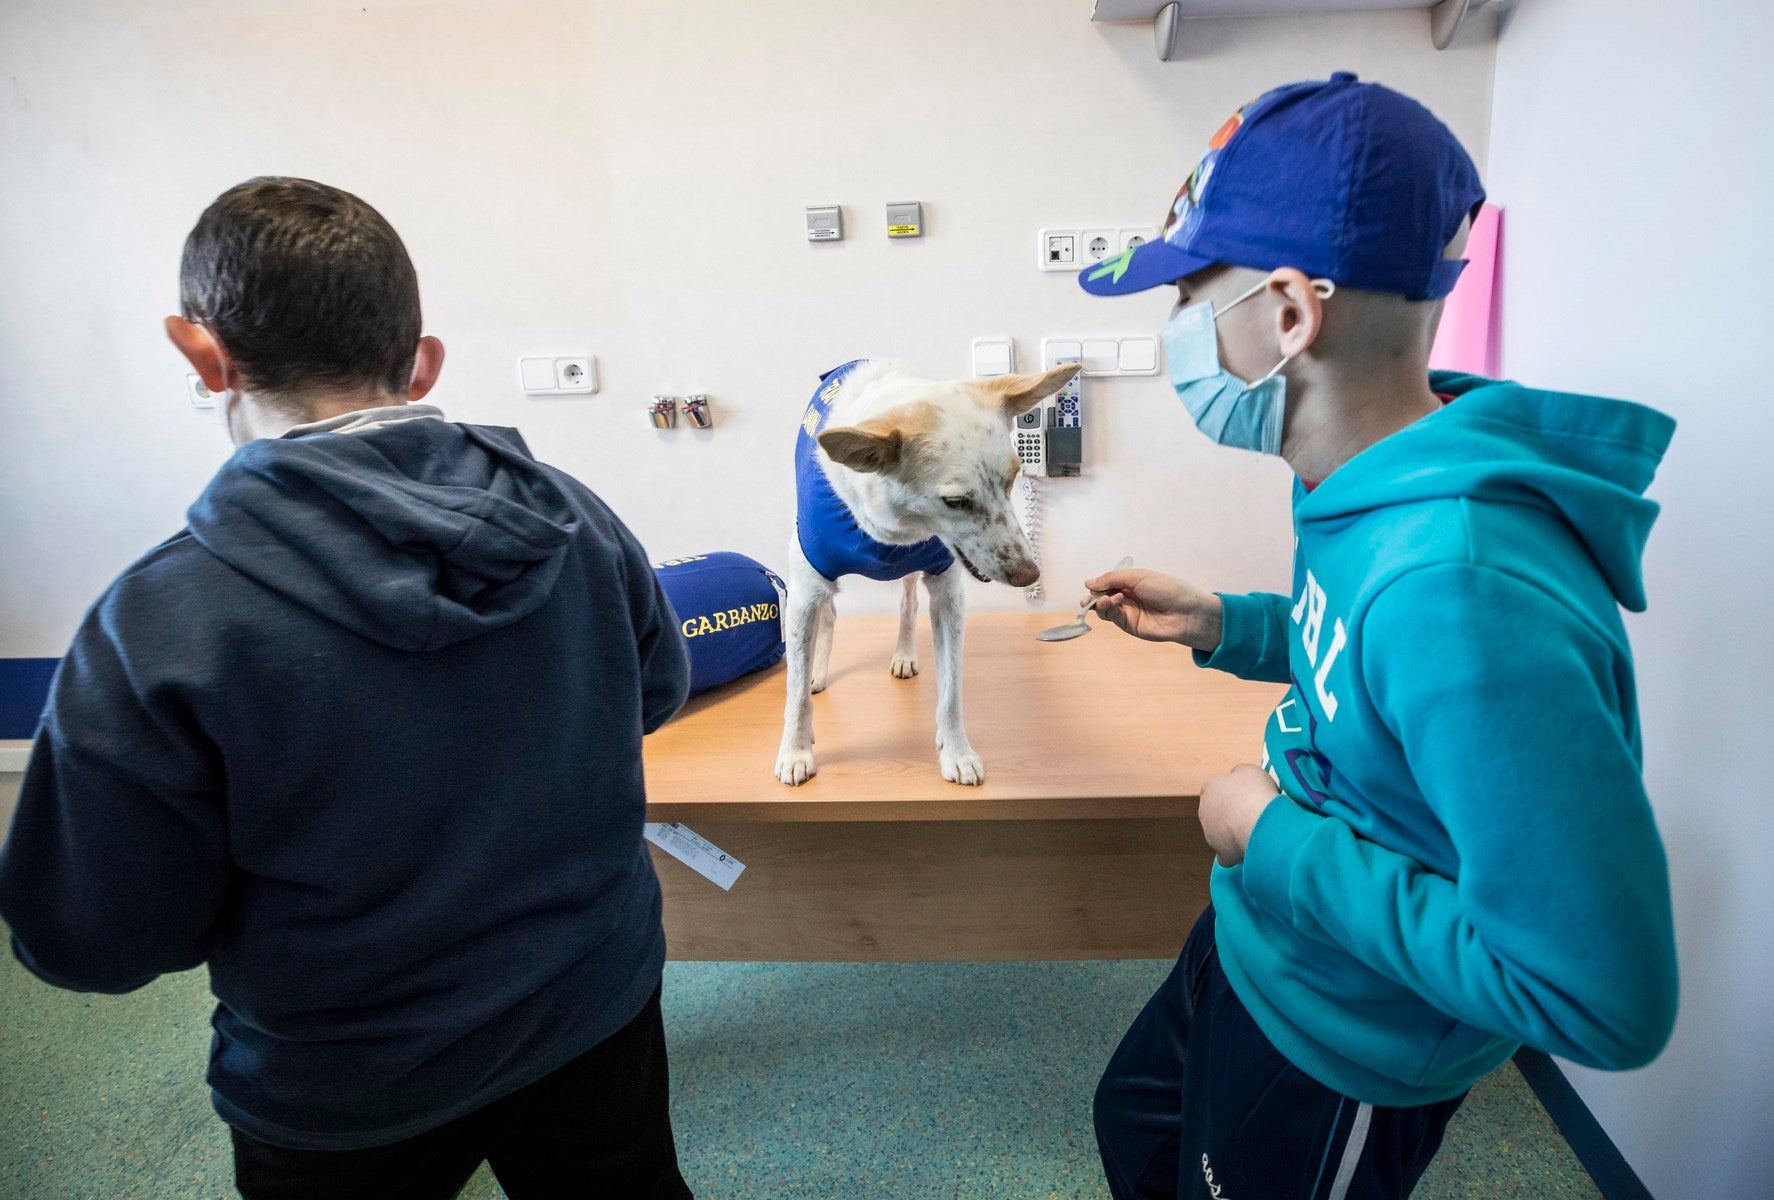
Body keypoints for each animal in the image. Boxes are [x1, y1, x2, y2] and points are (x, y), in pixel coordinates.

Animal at [773, 356, 1078, 788]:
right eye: (956, 501)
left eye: (1012, 478)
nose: (1028, 574)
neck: (893, 531)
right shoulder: (805, 588)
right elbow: (795, 692)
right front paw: (795, 751)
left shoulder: (946, 593)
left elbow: (951, 690)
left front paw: (957, 753)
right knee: (828, 614)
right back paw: (818, 671)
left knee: (907, 605)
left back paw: (903, 654)